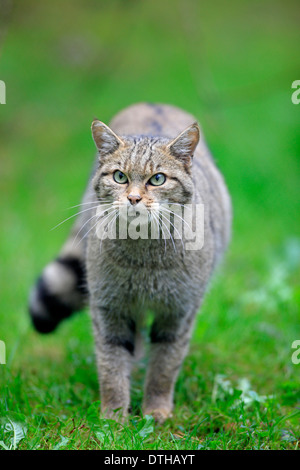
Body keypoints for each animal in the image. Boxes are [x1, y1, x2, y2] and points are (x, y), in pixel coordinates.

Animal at [28, 102, 232, 422]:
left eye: (158, 179)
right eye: (119, 177)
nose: (134, 198)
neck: (144, 261)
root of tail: (153, 103)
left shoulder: (179, 313)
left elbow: (164, 367)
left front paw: (156, 410)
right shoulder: (109, 309)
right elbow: (111, 367)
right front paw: (114, 417)